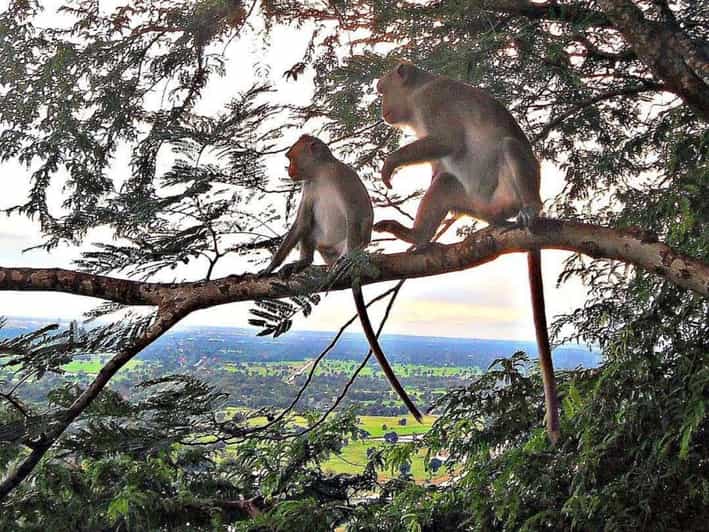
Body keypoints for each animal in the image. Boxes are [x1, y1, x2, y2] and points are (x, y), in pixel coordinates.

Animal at [261, 134, 423, 422]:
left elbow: (358, 214)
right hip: (325, 247)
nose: (289, 169)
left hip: (340, 245)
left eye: (290, 157)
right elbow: (301, 224)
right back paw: (304, 262)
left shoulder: (343, 176)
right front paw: (270, 266)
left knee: (350, 226)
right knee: (310, 226)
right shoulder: (309, 186)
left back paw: (345, 261)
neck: (321, 173)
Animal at [373, 62, 560, 442]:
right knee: (446, 184)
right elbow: (439, 169)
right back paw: (418, 235)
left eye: (383, 90)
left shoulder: (433, 103)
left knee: (510, 147)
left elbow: (448, 142)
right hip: (475, 203)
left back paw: (531, 208)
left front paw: (391, 162)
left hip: (507, 192)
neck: (417, 93)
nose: (381, 108)